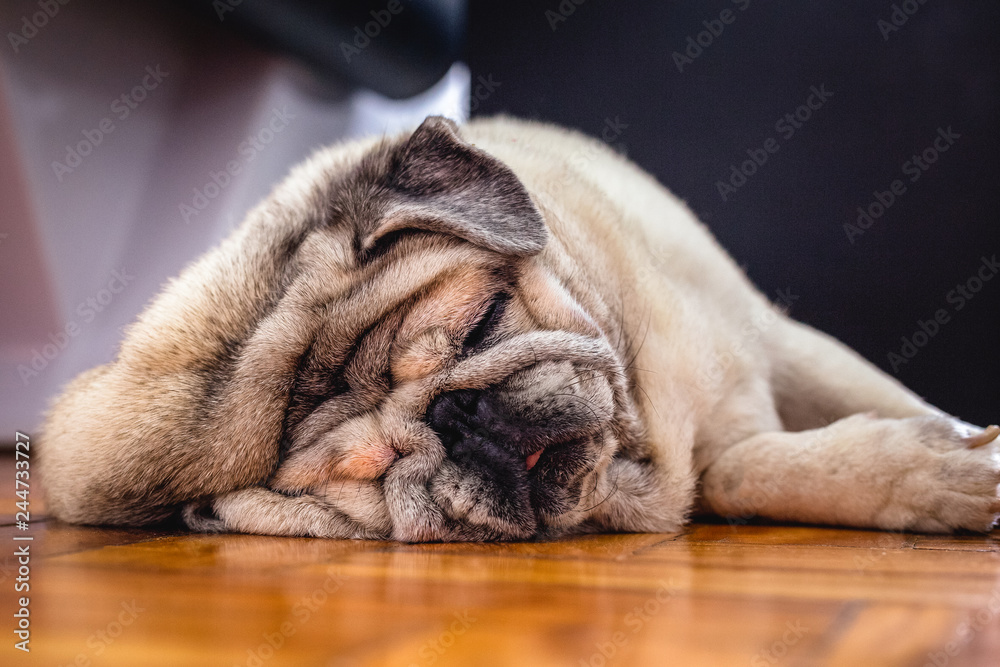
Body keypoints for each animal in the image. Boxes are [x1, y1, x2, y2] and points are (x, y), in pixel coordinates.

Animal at [35, 115, 996, 544]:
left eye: (483, 322)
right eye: (364, 471)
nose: (458, 418)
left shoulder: (780, 336)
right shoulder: (712, 459)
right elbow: (747, 471)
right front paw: (933, 475)